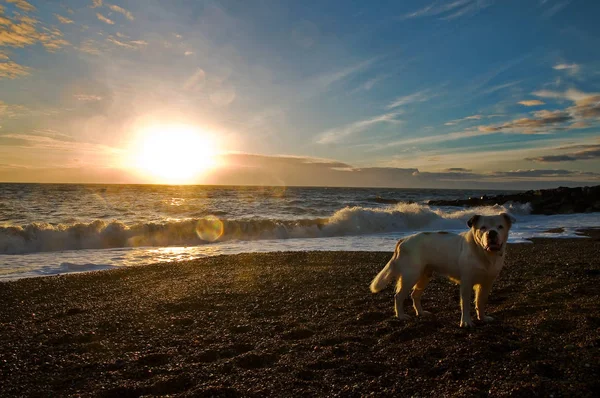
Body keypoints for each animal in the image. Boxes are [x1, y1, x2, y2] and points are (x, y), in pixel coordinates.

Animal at [370, 213, 516, 328]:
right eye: (483, 228)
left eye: (500, 227)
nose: (492, 233)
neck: (484, 254)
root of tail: (403, 240)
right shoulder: (466, 282)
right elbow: (465, 304)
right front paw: (466, 322)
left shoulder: (487, 283)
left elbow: (481, 302)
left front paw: (483, 318)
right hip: (410, 275)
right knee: (398, 296)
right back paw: (401, 316)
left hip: (424, 276)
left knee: (415, 295)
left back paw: (421, 313)